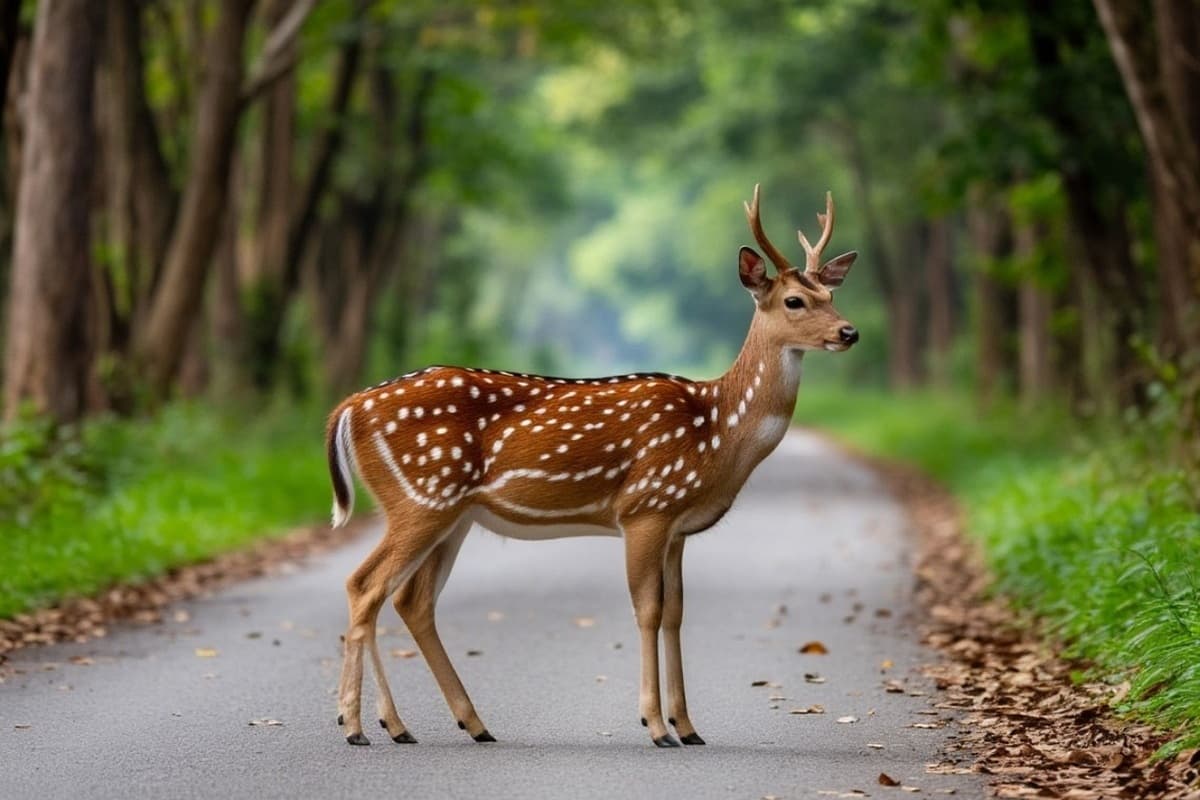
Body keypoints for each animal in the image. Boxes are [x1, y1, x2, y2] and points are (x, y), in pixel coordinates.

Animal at [325, 185, 859, 748]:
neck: (717, 428)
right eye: (794, 300)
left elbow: (675, 613)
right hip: (420, 497)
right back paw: (358, 725)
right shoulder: (646, 506)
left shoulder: (678, 527)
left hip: (452, 515)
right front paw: (655, 726)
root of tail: (349, 408)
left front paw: (688, 726)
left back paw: (448, 723)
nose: (850, 332)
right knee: (365, 586)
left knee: (411, 599)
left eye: (831, 295)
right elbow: (647, 610)